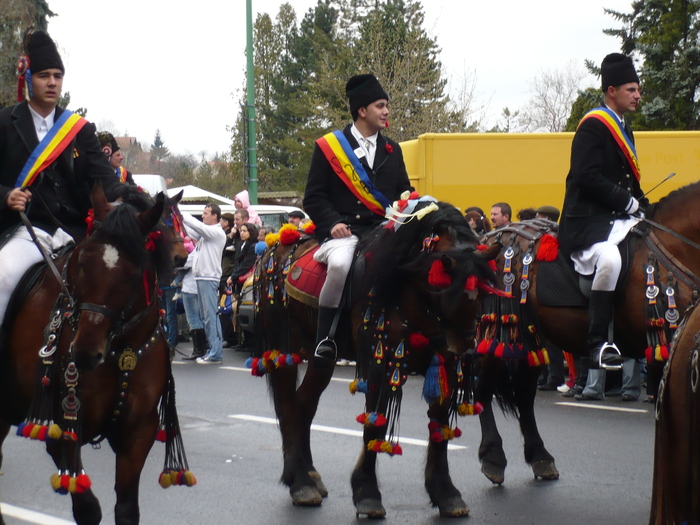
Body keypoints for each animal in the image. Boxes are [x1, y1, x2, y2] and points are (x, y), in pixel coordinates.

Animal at [0, 185, 193, 524]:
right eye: (81, 263)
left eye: (135, 270)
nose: (86, 351)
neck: (122, 350)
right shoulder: (61, 431)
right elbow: (88, 508)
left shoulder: (137, 432)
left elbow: (127, 509)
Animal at [249, 200, 500, 516]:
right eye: (444, 289)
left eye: (483, 292)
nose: (465, 347)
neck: (404, 286)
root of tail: (275, 245)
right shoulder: (379, 361)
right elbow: (375, 423)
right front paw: (367, 492)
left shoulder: (444, 365)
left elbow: (439, 425)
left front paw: (446, 493)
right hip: (284, 349)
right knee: (288, 407)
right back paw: (300, 483)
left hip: (321, 359)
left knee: (303, 406)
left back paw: (310, 477)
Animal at [474, 183, 700, 488]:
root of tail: (490, 237)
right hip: (501, 332)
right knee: (485, 388)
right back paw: (493, 457)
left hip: (530, 337)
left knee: (522, 394)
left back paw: (540, 457)